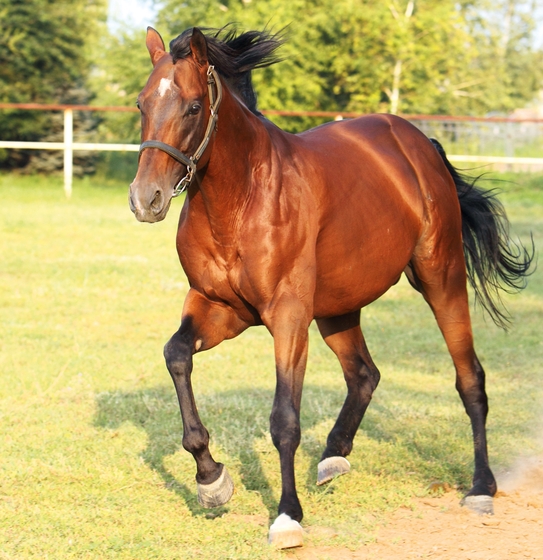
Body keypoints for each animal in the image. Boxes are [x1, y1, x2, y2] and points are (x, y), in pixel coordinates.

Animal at [130, 25, 532, 548]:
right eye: (141, 104)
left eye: (194, 107)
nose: (146, 199)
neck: (242, 197)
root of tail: (419, 144)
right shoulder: (218, 307)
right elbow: (176, 355)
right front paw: (211, 479)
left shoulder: (288, 317)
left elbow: (284, 418)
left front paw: (286, 516)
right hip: (338, 309)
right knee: (364, 374)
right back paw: (334, 456)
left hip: (441, 280)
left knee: (471, 380)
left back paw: (481, 487)